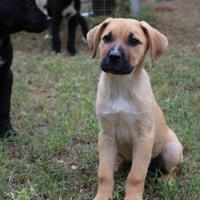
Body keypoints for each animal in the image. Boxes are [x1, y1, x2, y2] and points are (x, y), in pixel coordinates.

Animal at [86, 17, 184, 200]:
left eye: (134, 41)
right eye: (106, 38)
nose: (114, 56)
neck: (120, 86)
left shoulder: (143, 137)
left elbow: (136, 176)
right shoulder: (106, 135)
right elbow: (104, 173)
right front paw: (102, 195)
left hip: (171, 150)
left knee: (173, 169)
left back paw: (168, 181)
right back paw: (117, 165)